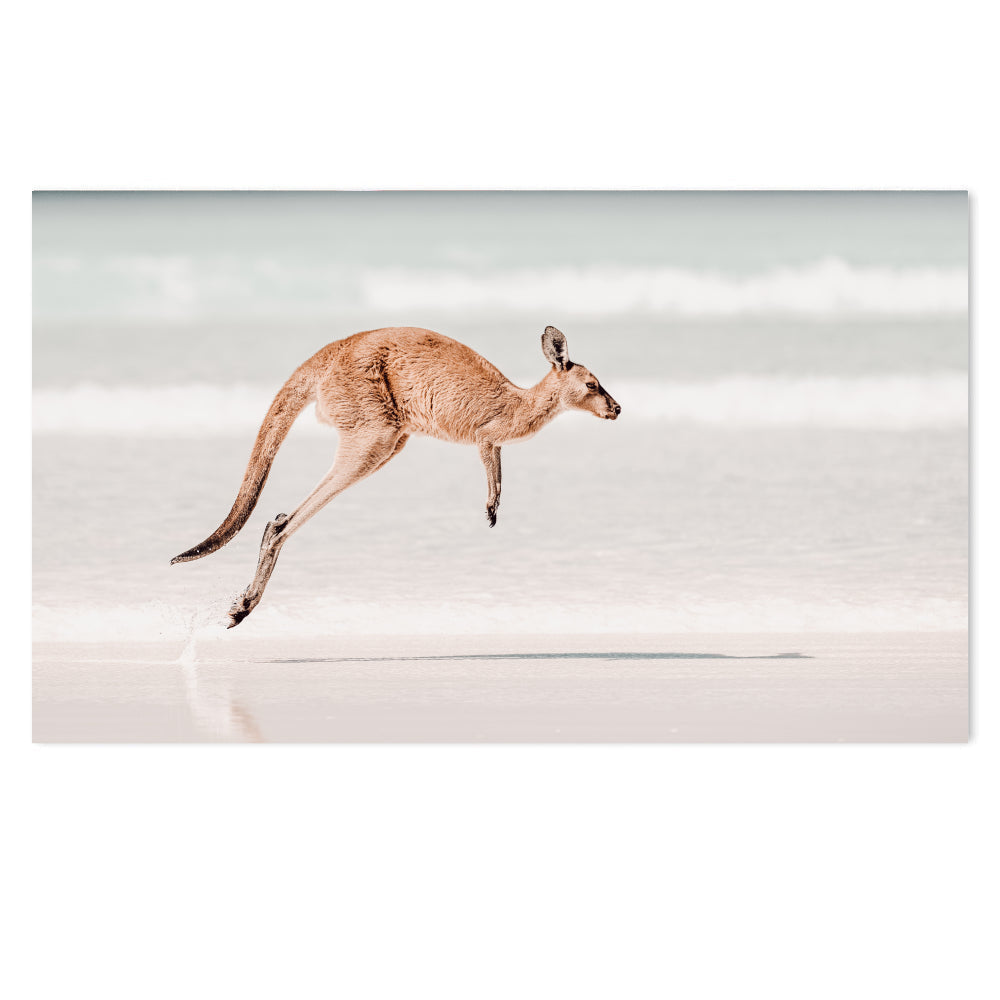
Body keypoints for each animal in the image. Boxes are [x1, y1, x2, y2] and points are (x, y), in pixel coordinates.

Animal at [171, 325, 621, 628]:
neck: (521, 402)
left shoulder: (490, 437)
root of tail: (329, 352)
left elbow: (494, 461)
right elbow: (488, 454)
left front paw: (493, 506)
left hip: (390, 436)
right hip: (372, 425)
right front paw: (491, 504)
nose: (617, 409)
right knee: (282, 523)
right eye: (592, 385)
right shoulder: (486, 430)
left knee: (282, 518)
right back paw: (242, 607)